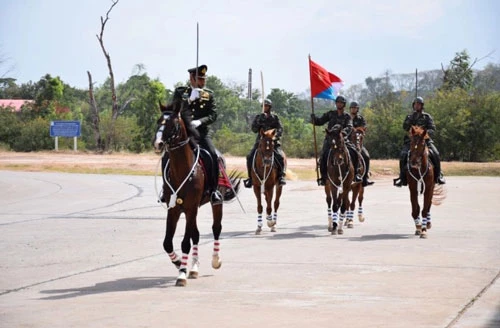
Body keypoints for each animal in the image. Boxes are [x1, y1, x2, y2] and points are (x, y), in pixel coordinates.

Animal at [156, 101, 242, 286]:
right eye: (158, 121)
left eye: (172, 124)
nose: (158, 143)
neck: (182, 171)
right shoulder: (174, 209)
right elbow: (168, 243)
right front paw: (179, 263)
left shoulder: (190, 208)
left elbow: (185, 243)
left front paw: (181, 274)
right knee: (196, 235)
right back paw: (194, 268)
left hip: (215, 203)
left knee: (216, 229)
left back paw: (215, 260)